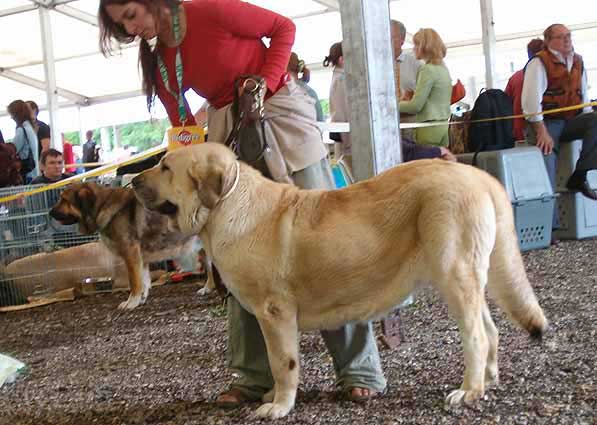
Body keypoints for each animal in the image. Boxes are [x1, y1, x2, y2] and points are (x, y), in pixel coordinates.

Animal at [49, 182, 198, 308]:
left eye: (64, 200)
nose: (50, 212)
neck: (102, 206)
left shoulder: (130, 254)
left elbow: (135, 282)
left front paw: (131, 303)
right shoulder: (141, 259)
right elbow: (144, 281)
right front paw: (141, 300)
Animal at [133, 142, 548, 418]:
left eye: (165, 167)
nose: (134, 180)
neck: (229, 204)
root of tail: (477, 175)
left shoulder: (274, 313)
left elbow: (282, 362)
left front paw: (279, 406)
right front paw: (271, 398)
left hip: (454, 273)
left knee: (476, 334)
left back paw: (467, 391)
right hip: (471, 278)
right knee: (490, 328)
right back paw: (487, 382)